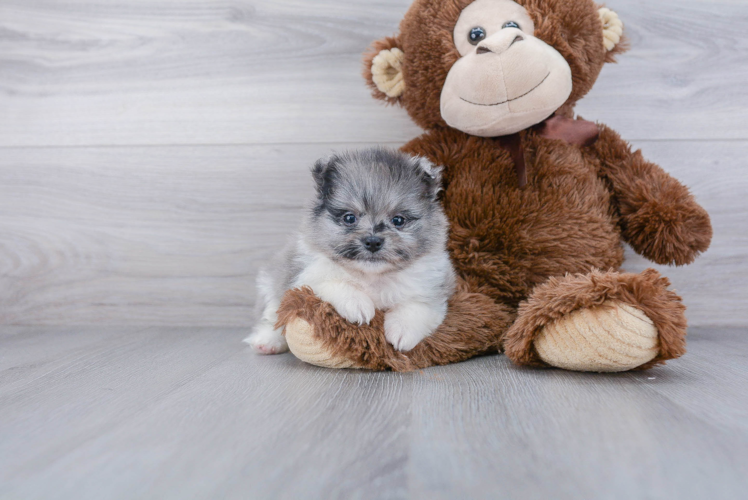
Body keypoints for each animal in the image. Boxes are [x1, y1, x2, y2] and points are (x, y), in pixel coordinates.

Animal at [245, 148, 456, 356]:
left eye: (398, 220)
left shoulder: (432, 289)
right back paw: (267, 341)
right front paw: (357, 304)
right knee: (272, 316)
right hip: (270, 286)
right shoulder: (306, 277)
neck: (372, 277)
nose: (373, 241)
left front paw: (402, 331)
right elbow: (336, 282)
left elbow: (416, 307)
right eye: (349, 218)